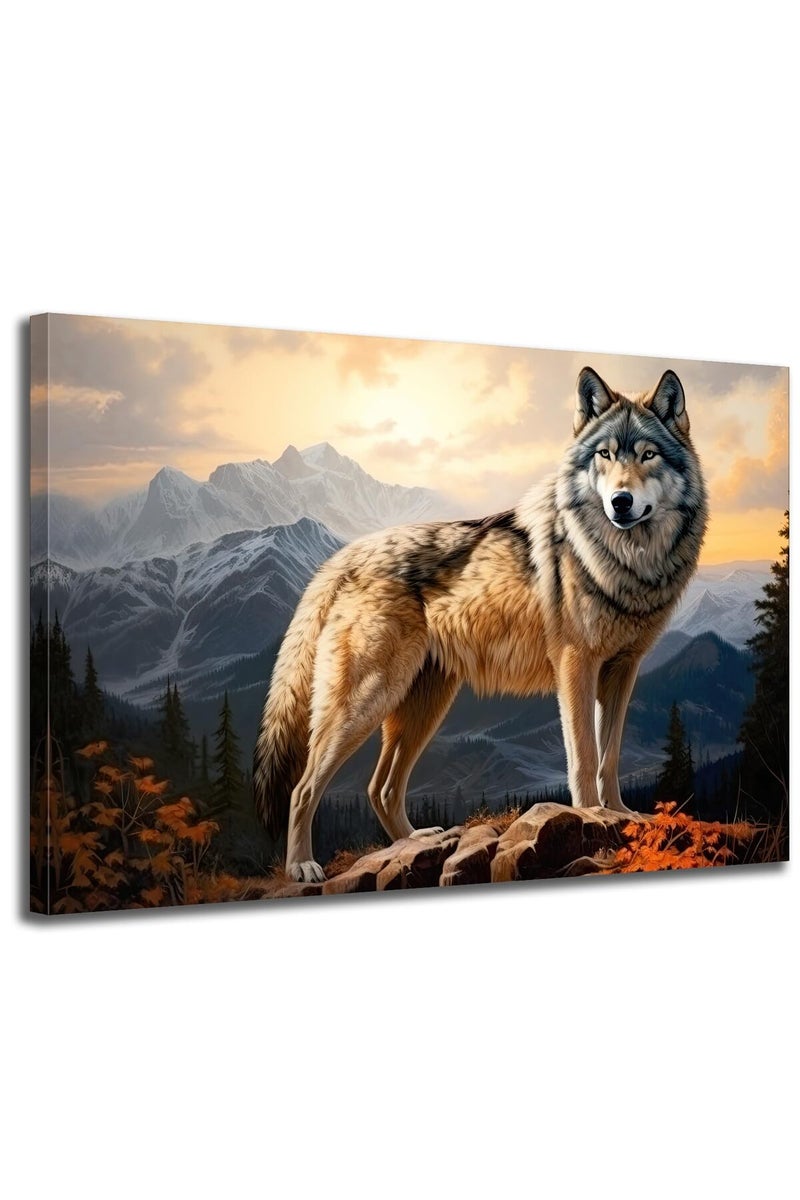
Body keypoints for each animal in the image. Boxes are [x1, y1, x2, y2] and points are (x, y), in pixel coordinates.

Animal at [254, 367, 708, 882]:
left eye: (648, 455)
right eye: (605, 455)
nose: (621, 501)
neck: (627, 561)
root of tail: (341, 557)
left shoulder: (621, 670)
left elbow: (609, 757)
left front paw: (620, 815)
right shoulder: (576, 665)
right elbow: (584, 756)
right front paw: (592, 815)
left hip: (423, 705)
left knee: (380, 788)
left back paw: (416, 842)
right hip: (368, 701)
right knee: (304, 787)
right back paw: (303, 865)